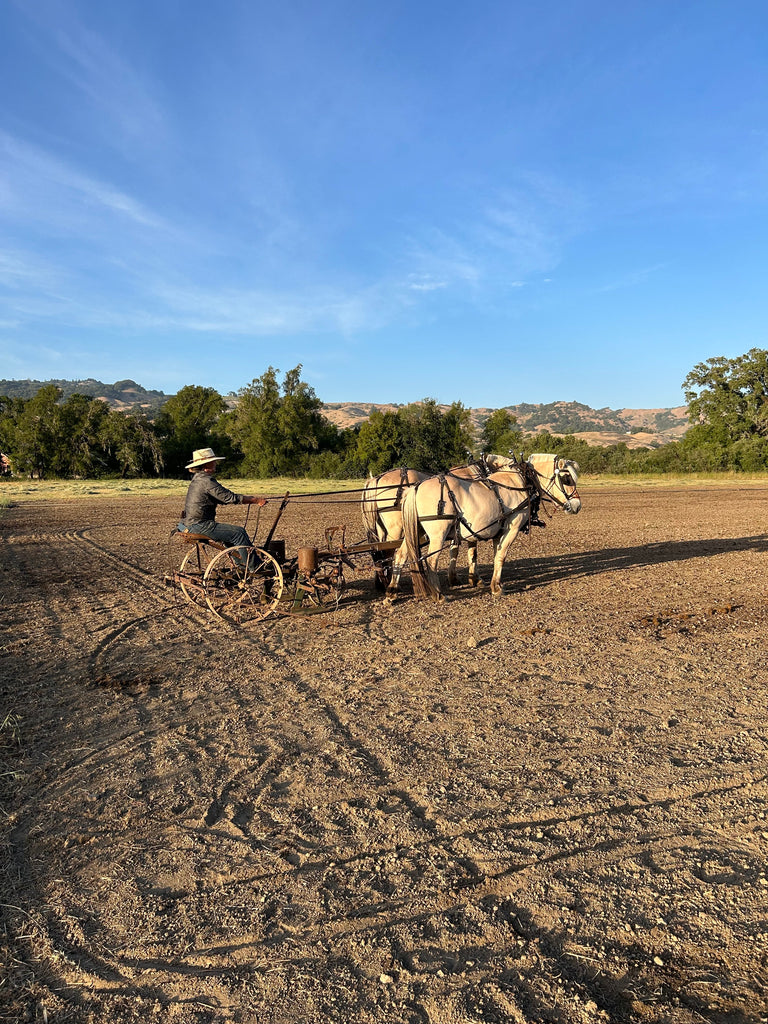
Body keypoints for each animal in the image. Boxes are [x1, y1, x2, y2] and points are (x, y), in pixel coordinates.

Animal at [401, 453, 581, 600]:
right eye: (567, 479)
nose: (577, 505)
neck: (520, 482)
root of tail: (416, 487)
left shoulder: (499, 532)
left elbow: (495, 556)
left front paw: (495, 584)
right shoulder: (511, 529)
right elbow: (501, 556)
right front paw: (496, 588)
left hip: (417, 532)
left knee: (403, 554)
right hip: (438, 534)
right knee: (431, 560)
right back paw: (438, 594)